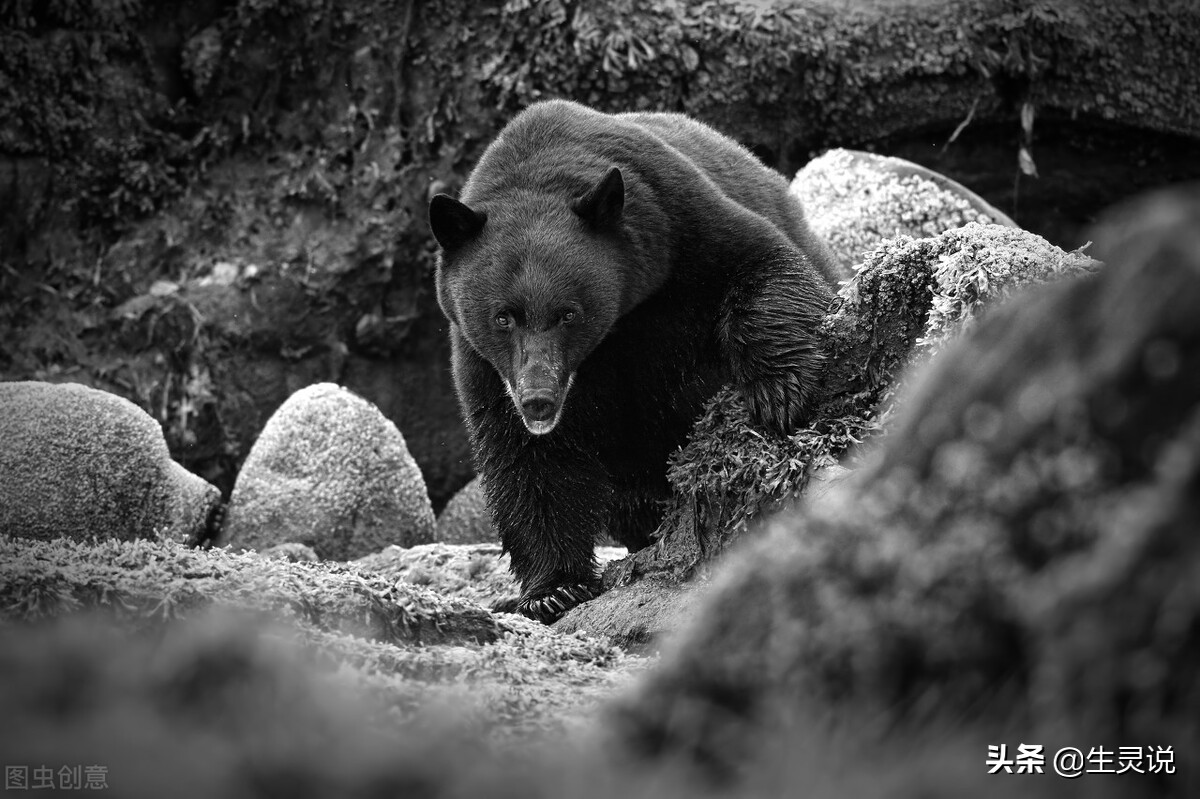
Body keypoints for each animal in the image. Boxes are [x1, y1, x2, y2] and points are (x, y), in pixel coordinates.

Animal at [428, 99, 841, 623]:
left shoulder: (678, 222)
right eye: (503, 317)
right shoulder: (482, 362)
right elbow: (527, 461)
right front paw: (553, 589)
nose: (539, 400)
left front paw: (778, 393)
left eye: (569, 313)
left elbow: (760, 263)